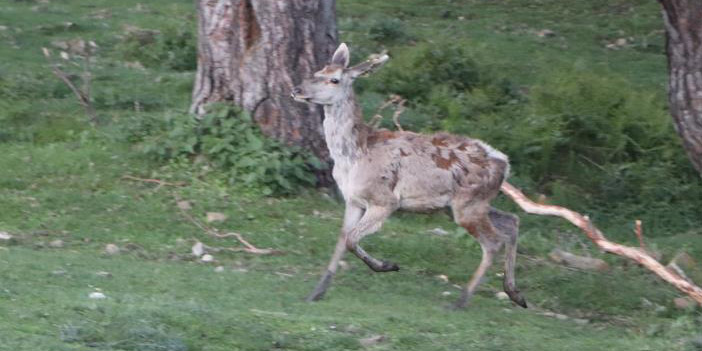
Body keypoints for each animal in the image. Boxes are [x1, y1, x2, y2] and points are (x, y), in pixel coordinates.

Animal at [292, 43, 528, 308]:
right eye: (317, 71)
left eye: (334, 79)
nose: (297, 89)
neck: (354, 155)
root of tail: (504, 163)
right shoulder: (353, 200)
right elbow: (342, 239)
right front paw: (316, 292)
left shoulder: (384, 200)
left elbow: (352, 240)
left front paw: (387, 265)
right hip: (466, 204)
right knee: (512, 221)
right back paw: (515, 293)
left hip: (468, 204)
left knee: (493, 242)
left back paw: (461, 300)